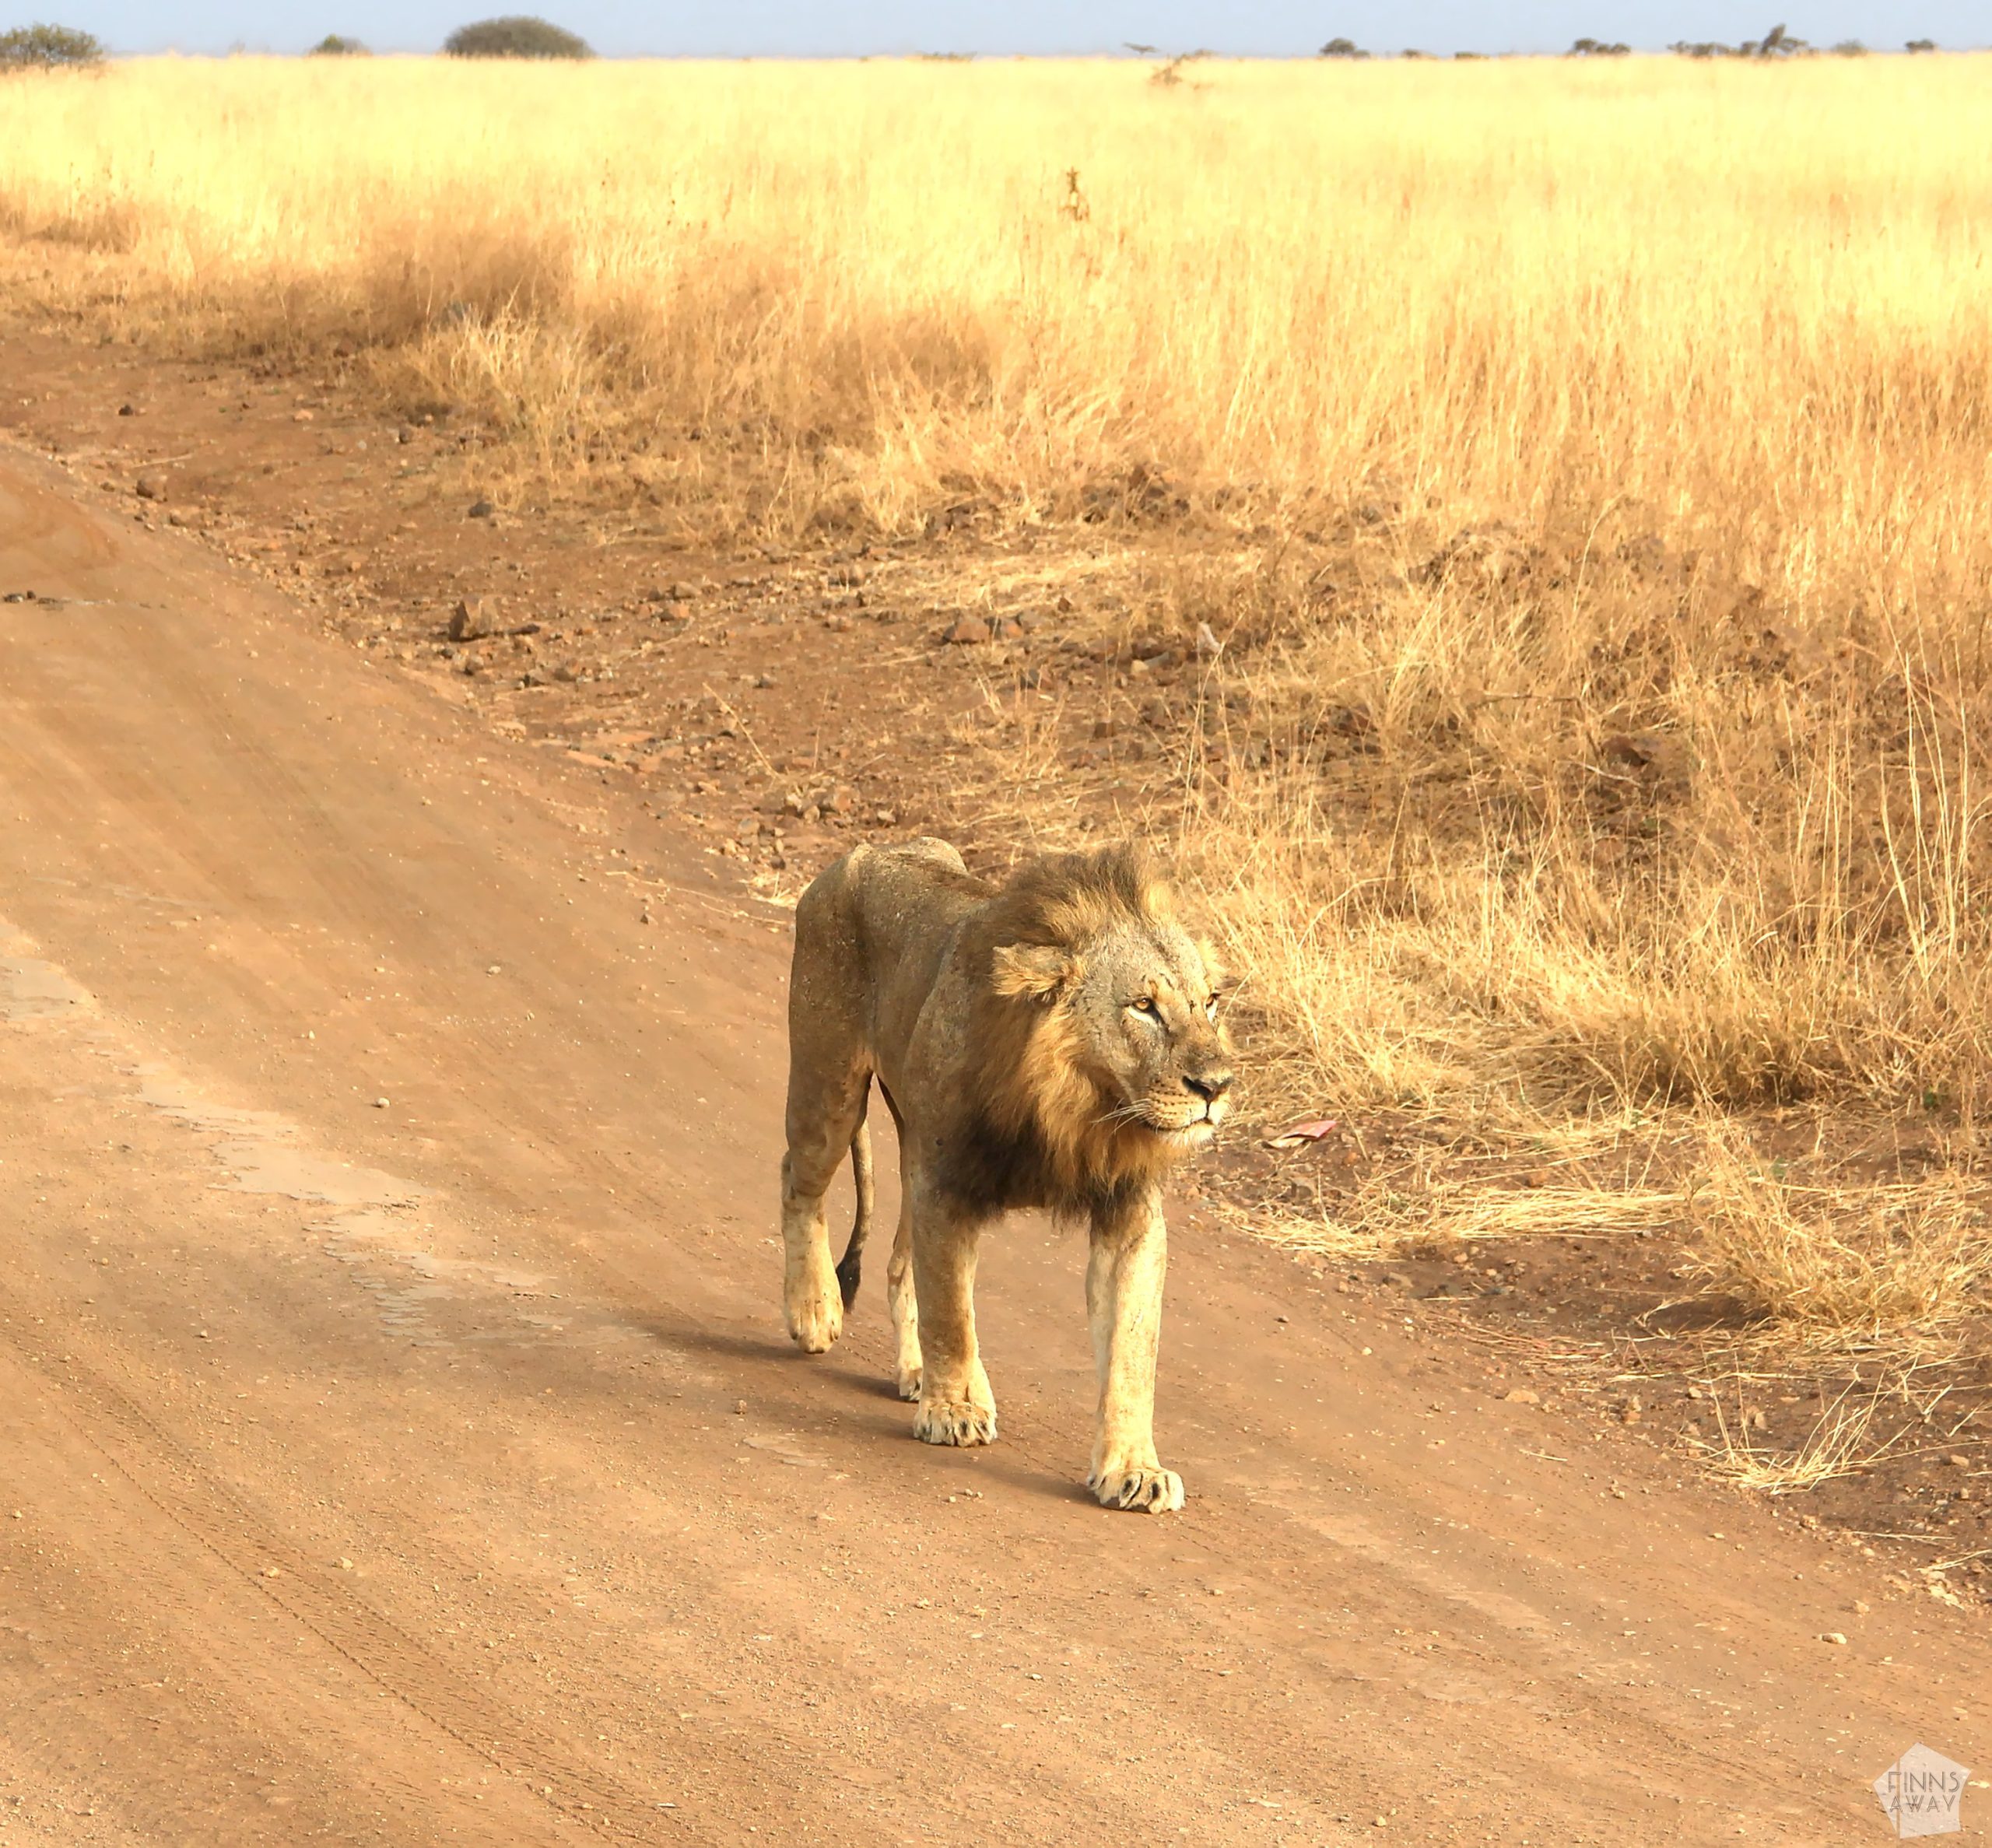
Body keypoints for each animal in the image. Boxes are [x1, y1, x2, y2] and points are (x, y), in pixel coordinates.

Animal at [778, 838, 1235, 1512]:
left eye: (1209, 1002)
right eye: (1143, 1007)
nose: (1216, 1086)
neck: (1080, 1106)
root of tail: (865, 851)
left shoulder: (1129, 1212)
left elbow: (1132, 1352)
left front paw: (1134, 1469)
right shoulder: (947, 1181)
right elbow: (952, 1312)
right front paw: (956, 1410)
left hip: (909, 1145)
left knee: (900, 1263)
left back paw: (917, 1371)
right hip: (830, 1088)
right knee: (799, 1179)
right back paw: (815, 1309)